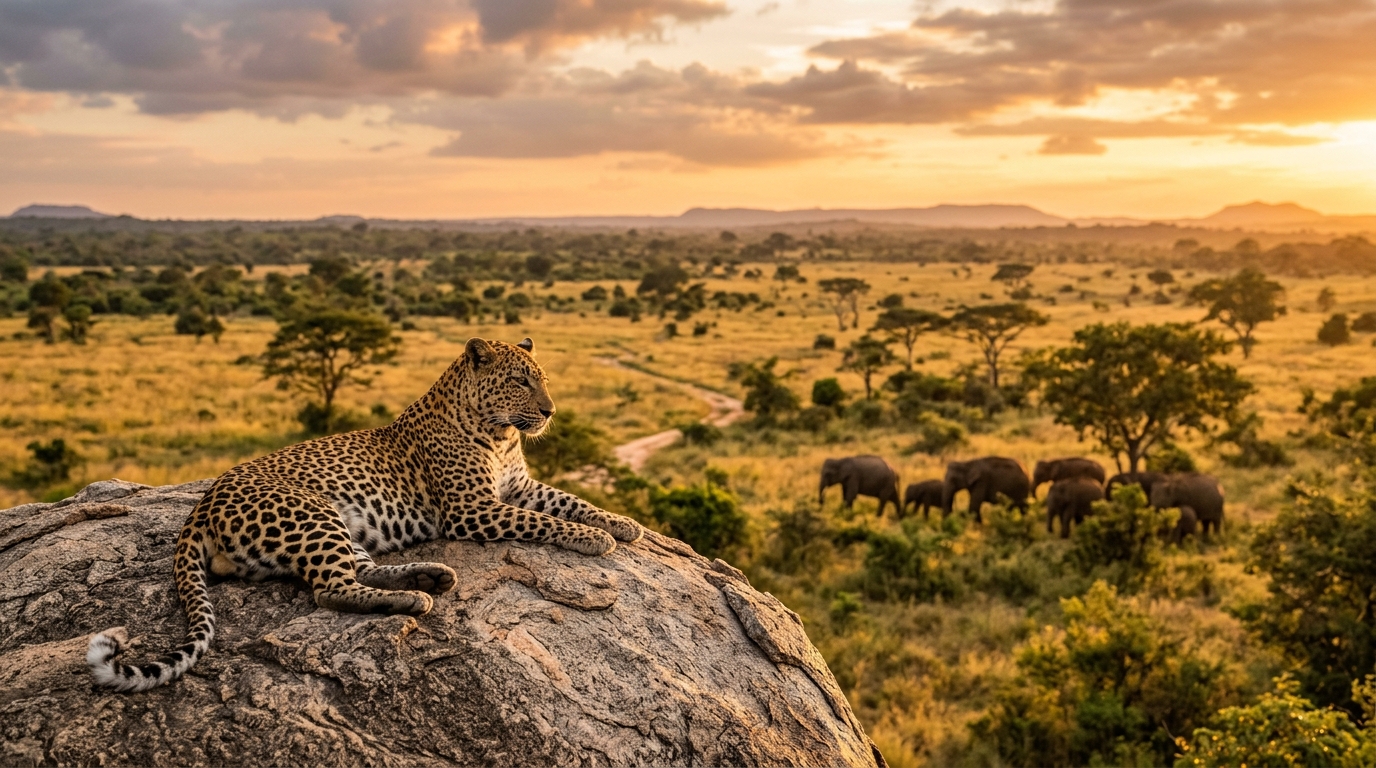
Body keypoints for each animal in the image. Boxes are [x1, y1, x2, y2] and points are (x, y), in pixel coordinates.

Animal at [87, 336, 643, 692]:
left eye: (541, 380)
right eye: (519, 382)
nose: (550, 412)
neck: (501, 433)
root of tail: (201, 505)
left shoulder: (520, 487)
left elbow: (570, 501)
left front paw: (623, 524)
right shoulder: (473, 509)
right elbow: (546, 521)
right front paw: (593, 538)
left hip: (338, 529)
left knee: (358, 570)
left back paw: (431, 577)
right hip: (313, 514)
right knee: (330, 589)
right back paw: (417, 598)